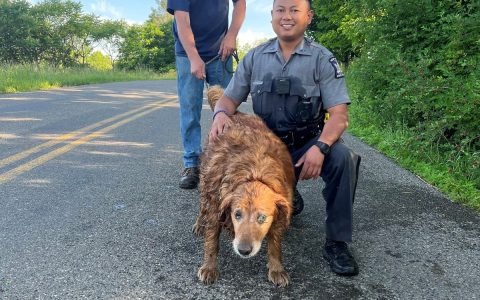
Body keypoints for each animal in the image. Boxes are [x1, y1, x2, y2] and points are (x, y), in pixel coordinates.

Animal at [193, 85, 294, 286]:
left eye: (262, 218)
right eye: (237, 214)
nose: (244, 250)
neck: (254, 171)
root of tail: (235, 113)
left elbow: (275, 243)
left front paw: (277, 268)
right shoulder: (216, 205)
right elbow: (211, 240)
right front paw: (209, 267)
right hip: (205, 181)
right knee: (202, 205)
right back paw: (199, 223)